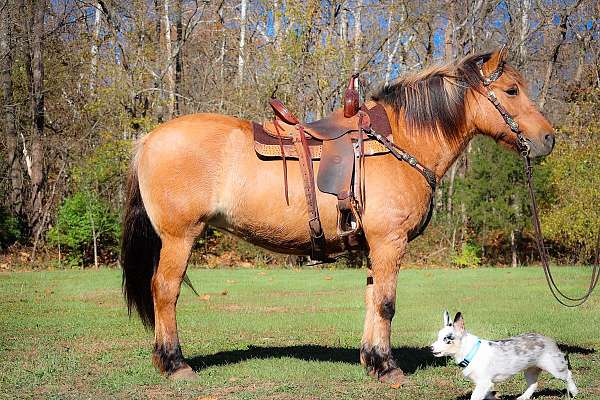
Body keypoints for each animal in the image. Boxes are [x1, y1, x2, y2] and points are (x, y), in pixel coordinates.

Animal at [119, 48, 556, 382]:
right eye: (512, 90)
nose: (548, 138)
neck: (401, 141)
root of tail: (148, 139)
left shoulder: (374, 247)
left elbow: (372, 299)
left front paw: (372, 361)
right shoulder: (389, 242)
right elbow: (386, 304)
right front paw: (389, 368)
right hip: (179, 237)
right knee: (165, 290)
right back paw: (175, 363)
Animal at [428, 312, 580, 400]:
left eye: (447, 339)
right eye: (438, 337)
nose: (431, 348)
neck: (471, 352)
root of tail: (550, 340)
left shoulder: (483, 383)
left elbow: (475, 397)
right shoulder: (485, 384)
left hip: (555, 368)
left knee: (568, 375)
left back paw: (574, 392)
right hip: (530, 370)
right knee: (534, 384)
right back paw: (523, 397)